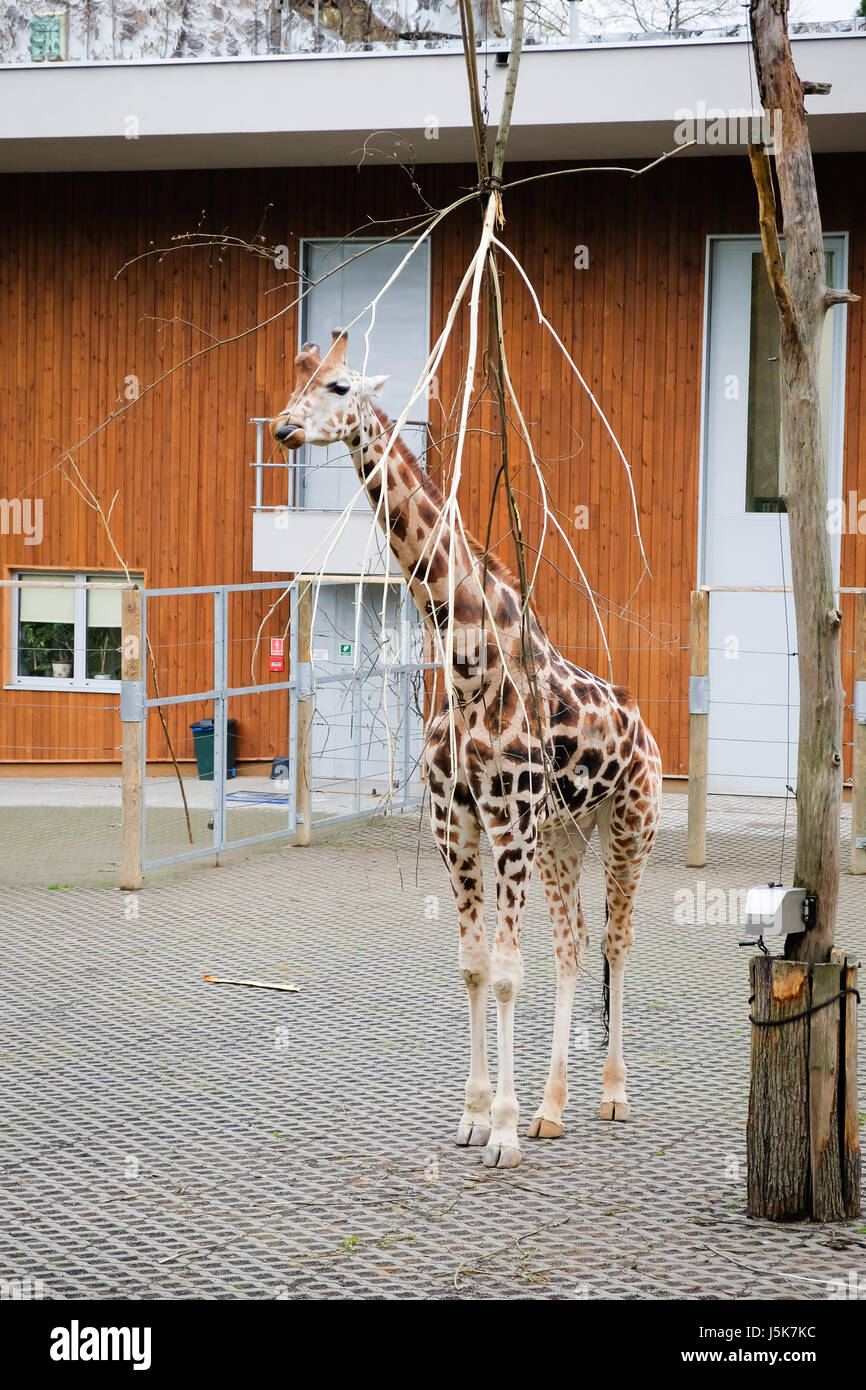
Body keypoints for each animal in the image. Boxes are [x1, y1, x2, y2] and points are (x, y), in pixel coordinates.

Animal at [272, 330, 662, 1170]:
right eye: (296, 380)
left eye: (341, 387)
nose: (283, 430)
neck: (463, 650)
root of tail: (644, 726)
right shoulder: (458, 819)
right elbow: (476, 966)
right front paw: (479, 1117)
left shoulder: (507, 817)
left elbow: (509, 973)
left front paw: (505, 1135)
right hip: (563, 835)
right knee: (574, 944)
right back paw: (554, 1108)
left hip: (629, 825)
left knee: (617, 940)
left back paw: (611, 1096)